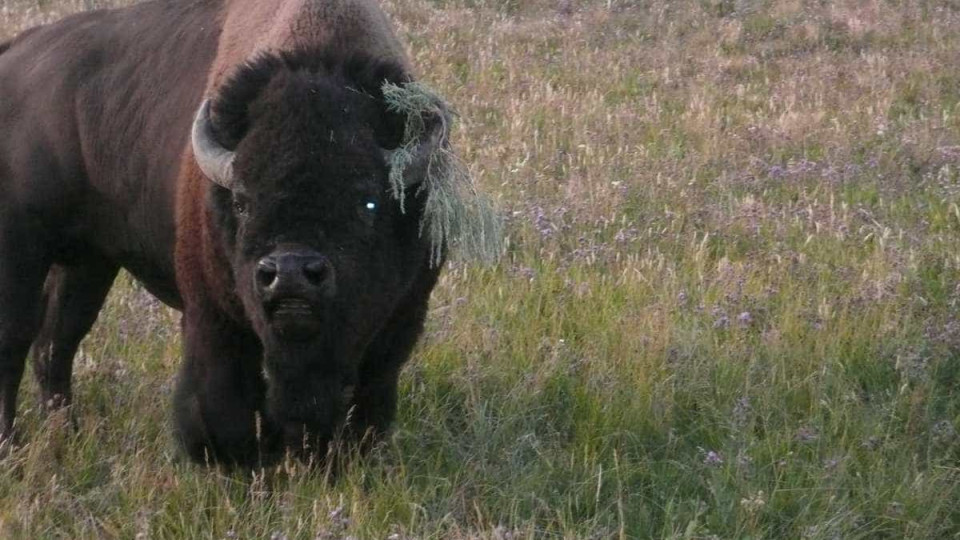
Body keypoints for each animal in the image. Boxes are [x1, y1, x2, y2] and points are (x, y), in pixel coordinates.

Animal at [0, 0, 468, 466]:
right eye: (242, 201)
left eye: (368, 202)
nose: (291, 272)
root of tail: (16, 52)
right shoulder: (214, 319)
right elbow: (222, 401)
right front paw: (232, 463)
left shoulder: (399, 322)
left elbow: (365, 401)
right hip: (22, 252)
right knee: (18, 339)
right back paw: (12, 446)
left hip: (89, 263)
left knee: (56, 342)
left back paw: (66, 434)